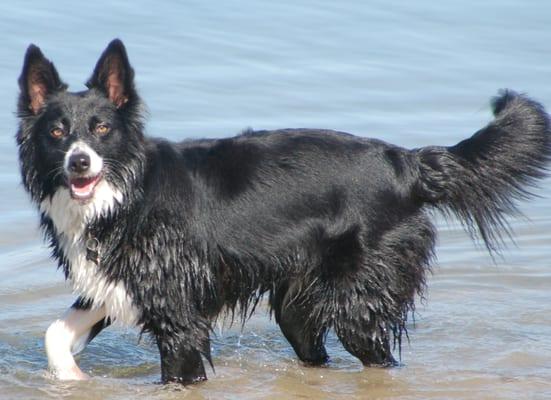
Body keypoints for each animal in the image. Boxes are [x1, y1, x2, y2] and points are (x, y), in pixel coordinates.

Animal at [17, 38, 551, 384]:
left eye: (102, 128)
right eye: (57, 132)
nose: (80, 162)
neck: (126, 194)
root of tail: (407, 163)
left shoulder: (178, 313)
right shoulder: (111, 282)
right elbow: (54, 334)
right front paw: (72, 378)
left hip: (359, 300)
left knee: (378, 357)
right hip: (300, 302)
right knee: (315, 349)